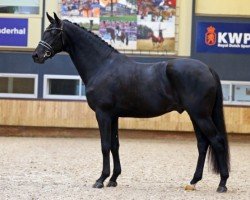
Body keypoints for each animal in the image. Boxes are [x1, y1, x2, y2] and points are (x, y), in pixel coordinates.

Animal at [32, 13, 230, 193]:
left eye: (53, 32)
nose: (36, 55)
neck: (102, 65)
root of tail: (208, 69)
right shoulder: (113, 116)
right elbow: (115, 145)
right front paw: (113, 179)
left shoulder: (103, 114)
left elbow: (105, 145)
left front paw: (101, 179)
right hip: (196, 116)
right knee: (203, 144)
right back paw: (193, 181)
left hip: (200, 115)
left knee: (217, 141)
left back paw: (222, 183)